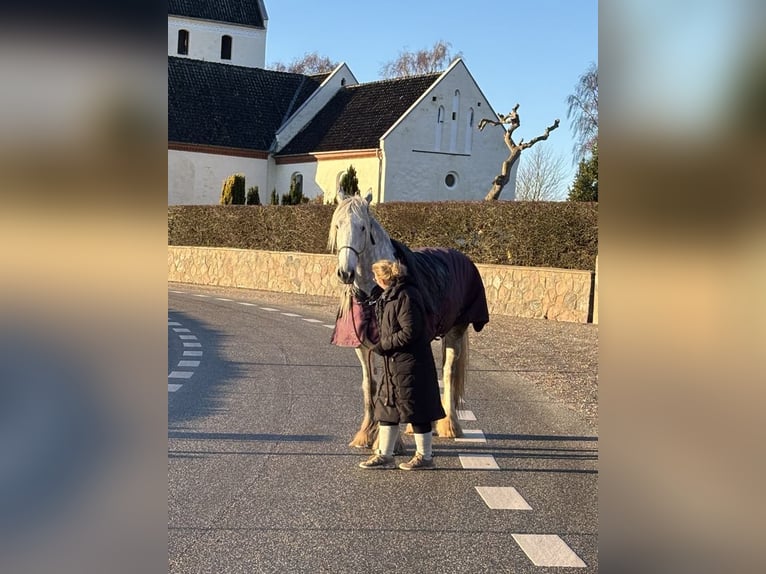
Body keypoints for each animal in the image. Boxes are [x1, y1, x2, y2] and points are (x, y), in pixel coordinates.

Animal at [328, 194, 488, 450]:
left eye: (362, 227)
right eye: (337, 225)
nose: (346, 273)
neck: (373, 294)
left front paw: (387, 442)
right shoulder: (362, 346)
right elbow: (370, 385)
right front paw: (366, 434)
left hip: (456, 331)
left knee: (449, 372)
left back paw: (450, 425)